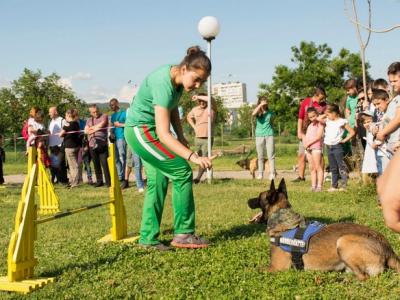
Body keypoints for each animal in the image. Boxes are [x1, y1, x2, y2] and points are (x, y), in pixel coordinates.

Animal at [247, 178, 400, 278]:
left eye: (259, 197)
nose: (247, 200)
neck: (283, 216)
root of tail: (388, 248)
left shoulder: (276, 267)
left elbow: (255, 269)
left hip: (343, 241)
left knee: (364, 277)